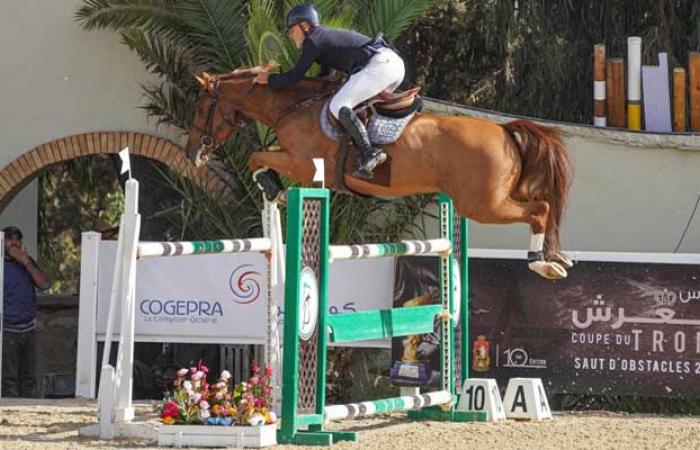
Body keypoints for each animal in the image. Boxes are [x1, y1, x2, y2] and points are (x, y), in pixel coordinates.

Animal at [186, 64, 576, 280]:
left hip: (482, 205)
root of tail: (504, 130)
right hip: (495, 196)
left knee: (539, 210)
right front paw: (272, 185)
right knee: (544, 205)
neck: (293, 105)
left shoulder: (304, 165)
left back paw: (542, 264)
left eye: (202, 107)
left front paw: (271, 186)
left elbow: (255, 157)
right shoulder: (296, 161)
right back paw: (556, 256)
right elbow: (261, 155)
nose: (193, 153)